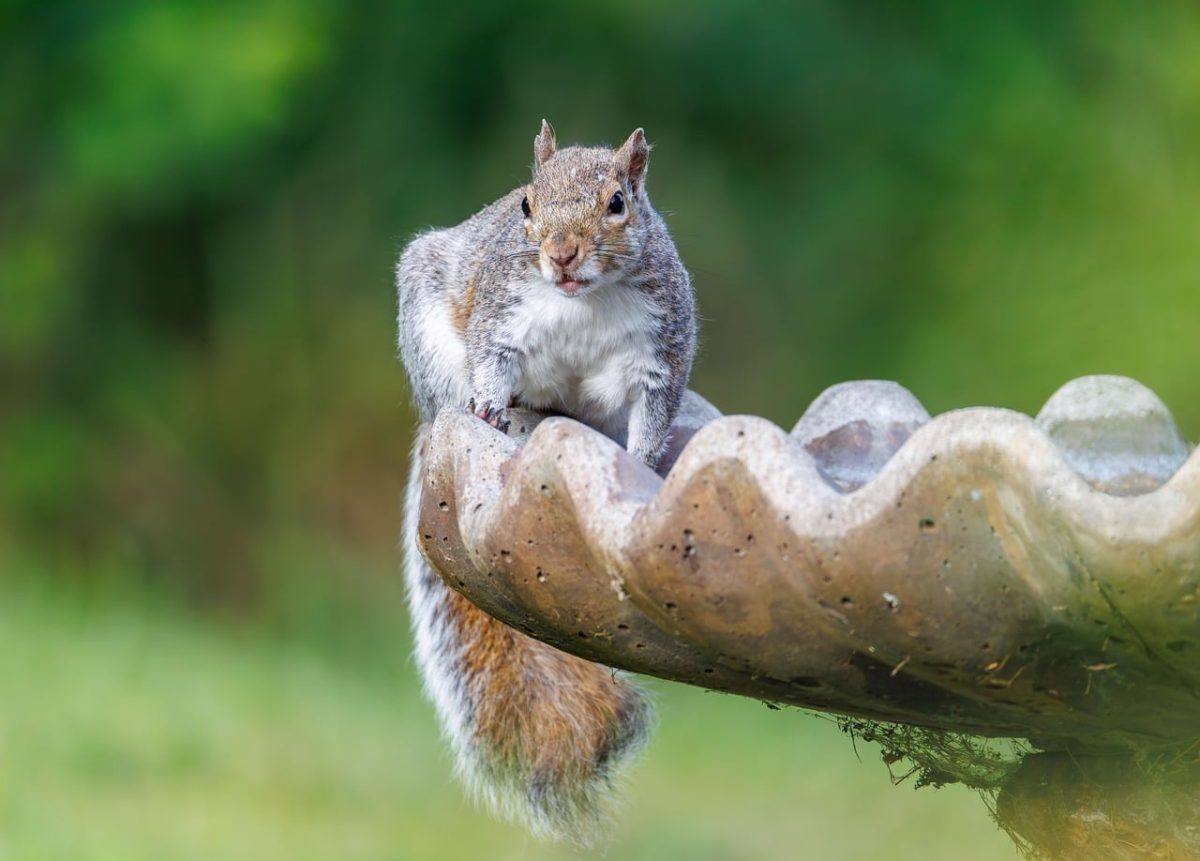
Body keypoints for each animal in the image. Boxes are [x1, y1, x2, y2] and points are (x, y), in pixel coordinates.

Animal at [395, 120, 696, 841]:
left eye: (618, 203)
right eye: (527, 204)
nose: (560, 256)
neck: (581, 300)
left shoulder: (659, 353)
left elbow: (652, 415)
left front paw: (645, 464)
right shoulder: (500, 319)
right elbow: (491, 362)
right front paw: (487, 406)